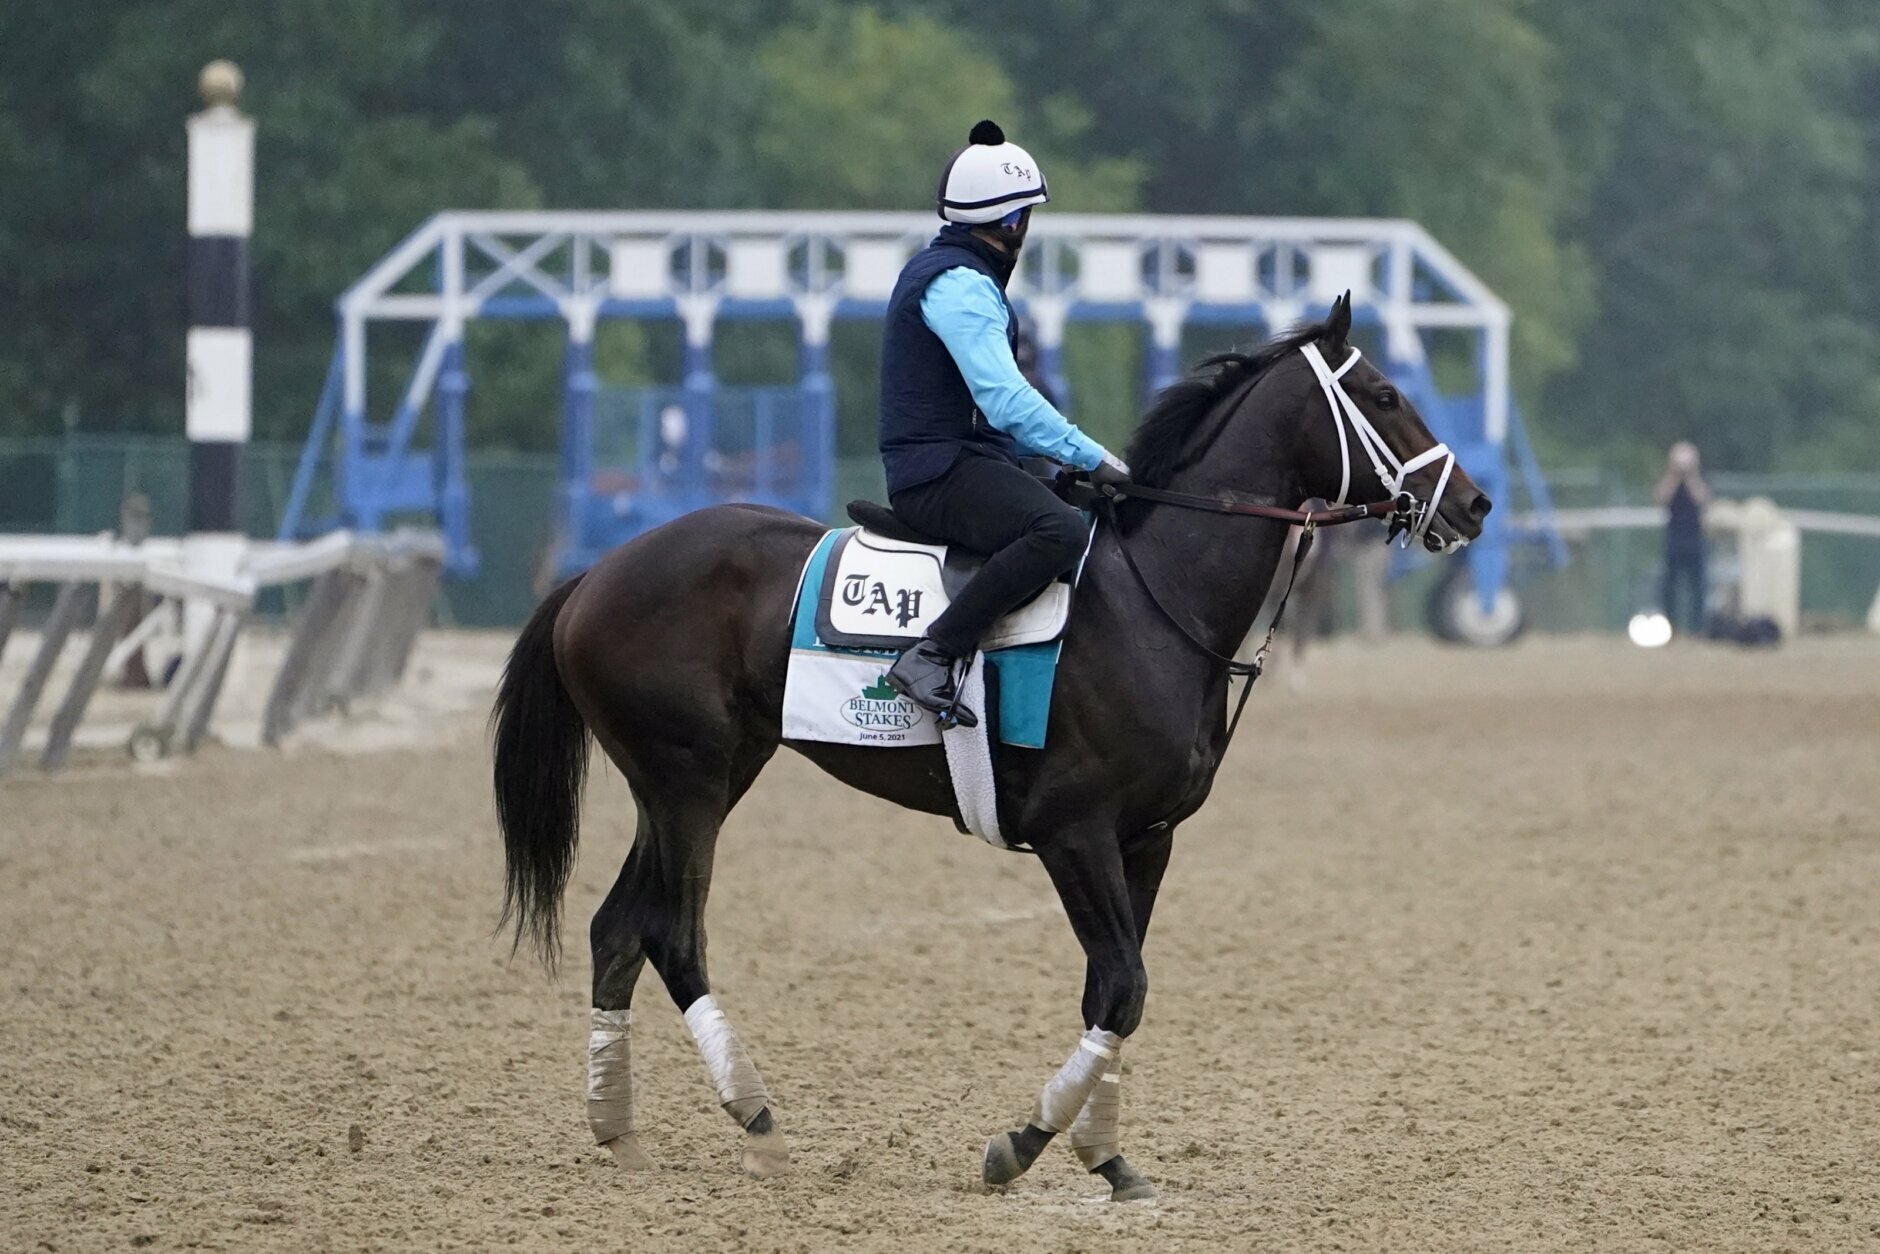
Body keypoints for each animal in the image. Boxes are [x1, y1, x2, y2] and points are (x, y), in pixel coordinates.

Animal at [492, 295, 1488, 1195]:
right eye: (1388, 393)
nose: (1474, 504)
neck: (1151, 598)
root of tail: (596, 574)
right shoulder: (1072, 834)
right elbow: (1122, 984)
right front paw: (1025, 1144)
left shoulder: (1147, 841)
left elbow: (1114, 994)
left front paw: (1107, 1158)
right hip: (687, 785)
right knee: (673, 936)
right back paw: (759, 1121)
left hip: (702, 780)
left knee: (618, 930)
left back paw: (617, 1128)